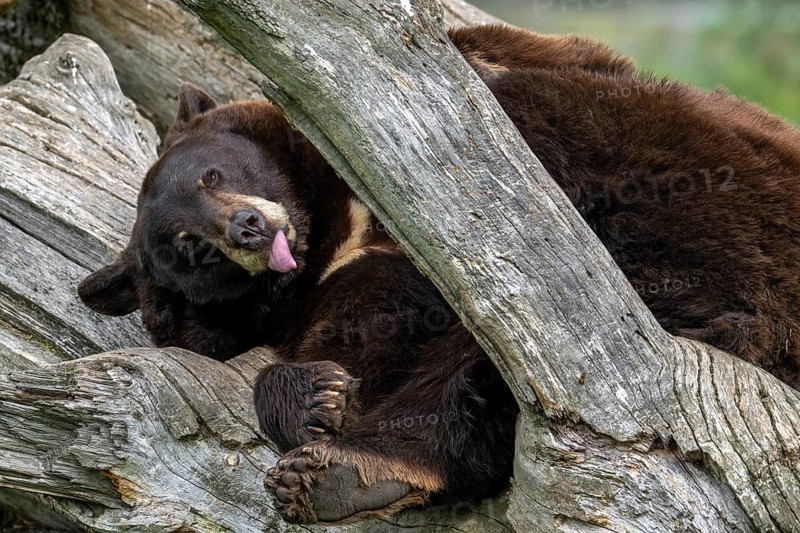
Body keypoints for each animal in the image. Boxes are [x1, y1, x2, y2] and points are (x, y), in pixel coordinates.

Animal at [77, 24, 800, 524]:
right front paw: (315, 396)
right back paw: (332, 475)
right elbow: (355, 343)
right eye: (185, 246)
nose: (248, 228)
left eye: (212, 172)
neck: (335, 226)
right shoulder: (332, 293)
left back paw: (351, 468)